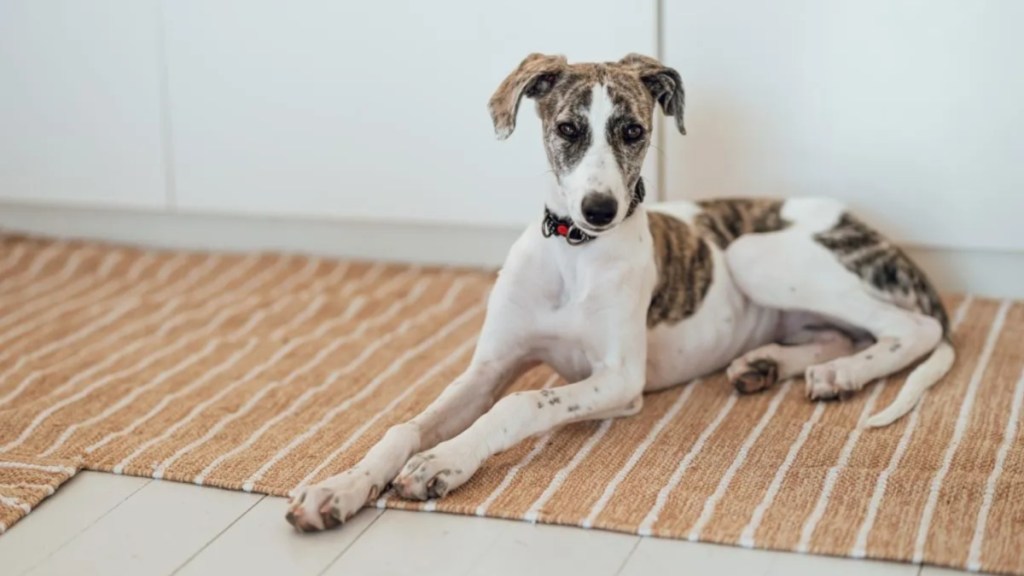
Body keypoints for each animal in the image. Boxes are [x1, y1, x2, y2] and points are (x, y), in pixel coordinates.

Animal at [282, 52, 950, 528]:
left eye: (632, 130)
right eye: (568, 128)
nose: (599, 209)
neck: (572, 253)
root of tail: (877, 234)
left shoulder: (619, 379)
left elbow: (521, 404)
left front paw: (444, 462)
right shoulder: (488, 367)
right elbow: (406, 426)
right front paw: (338, 488)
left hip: (754, 254)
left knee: (912, 329)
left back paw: (844, 373)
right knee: (842, 333)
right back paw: (774, 365)